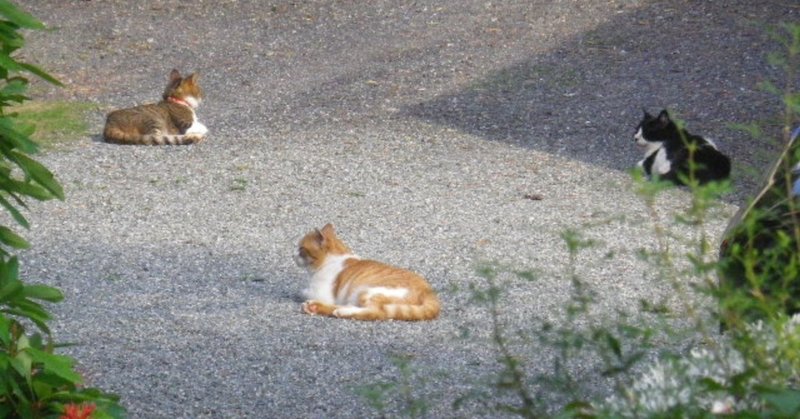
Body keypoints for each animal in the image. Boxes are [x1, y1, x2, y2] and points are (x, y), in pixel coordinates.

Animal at [296, 225, 440, 324]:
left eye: (301, 249)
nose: (293, 255)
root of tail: (429, 292)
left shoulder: (320, 293)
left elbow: (303, 292)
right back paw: (314, 307)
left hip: (370, 291)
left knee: (376, 312)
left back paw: (339, 311)